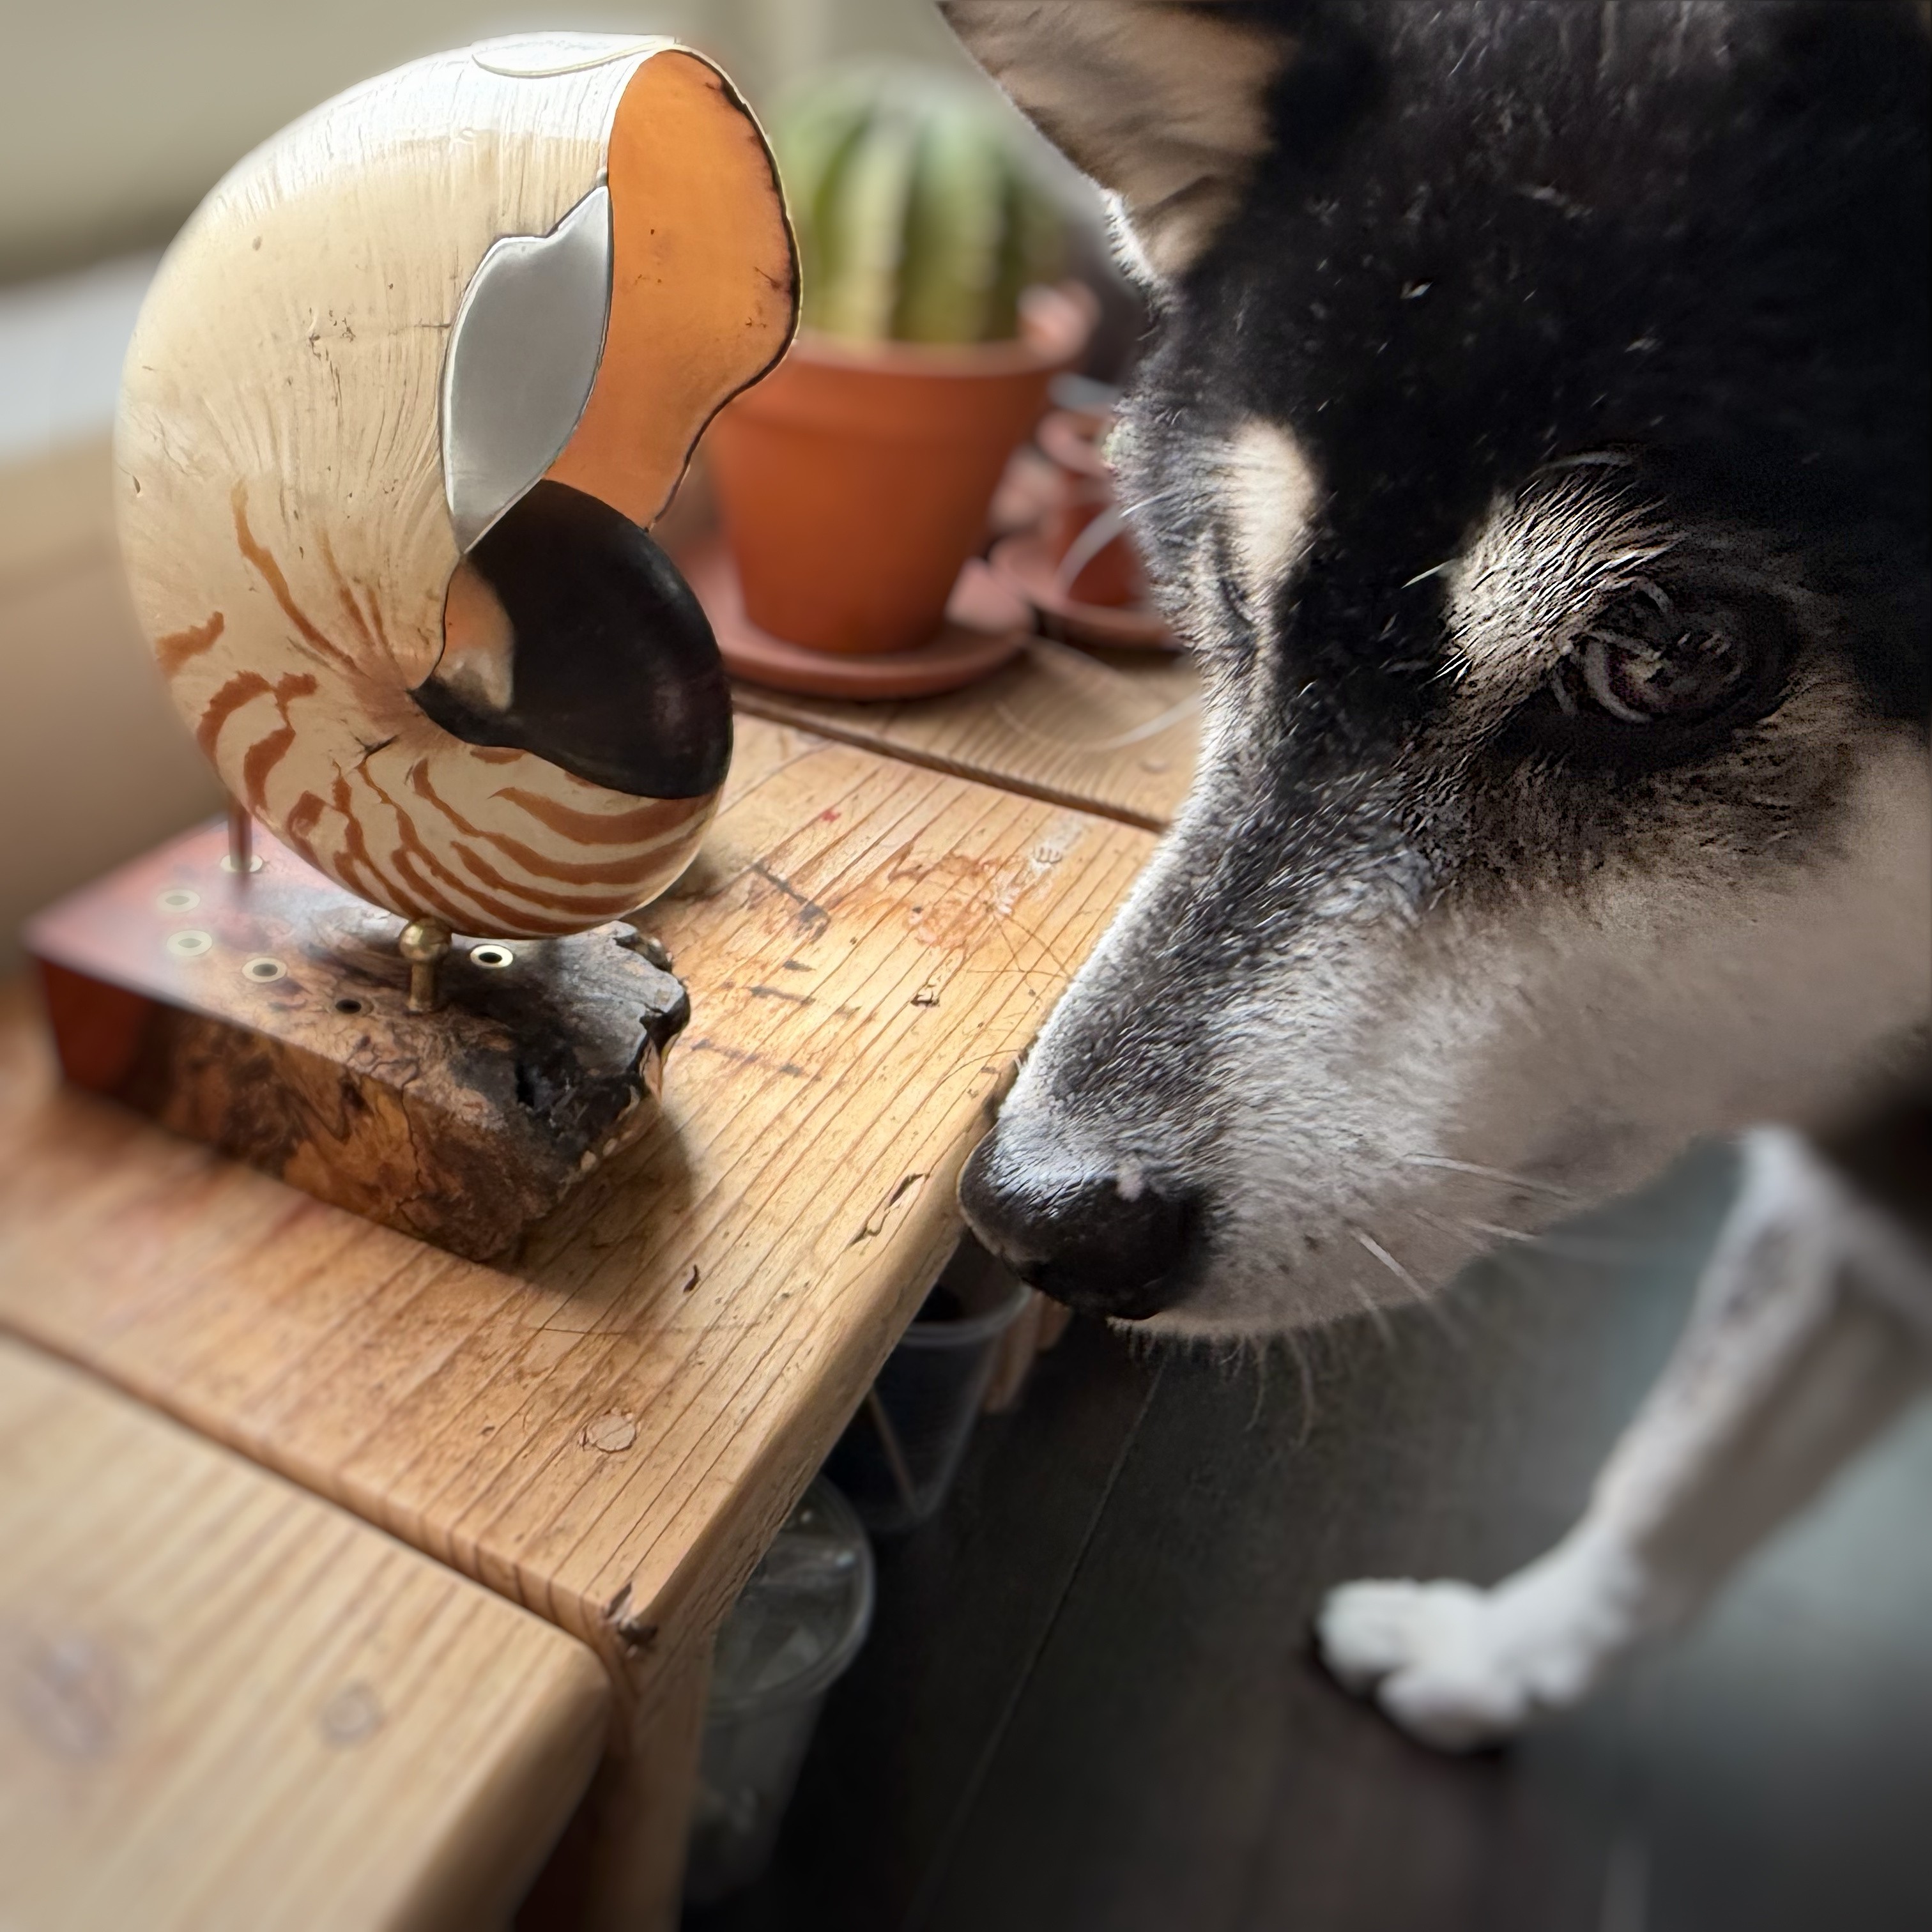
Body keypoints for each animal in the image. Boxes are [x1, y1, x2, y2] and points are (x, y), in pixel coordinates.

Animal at [939, 0, 1930, 1749]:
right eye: (1228, 604)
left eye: (1671, 656)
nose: (1038, 1217)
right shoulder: (1848, 1225)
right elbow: (1673, 1478)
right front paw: (1494, 1658)